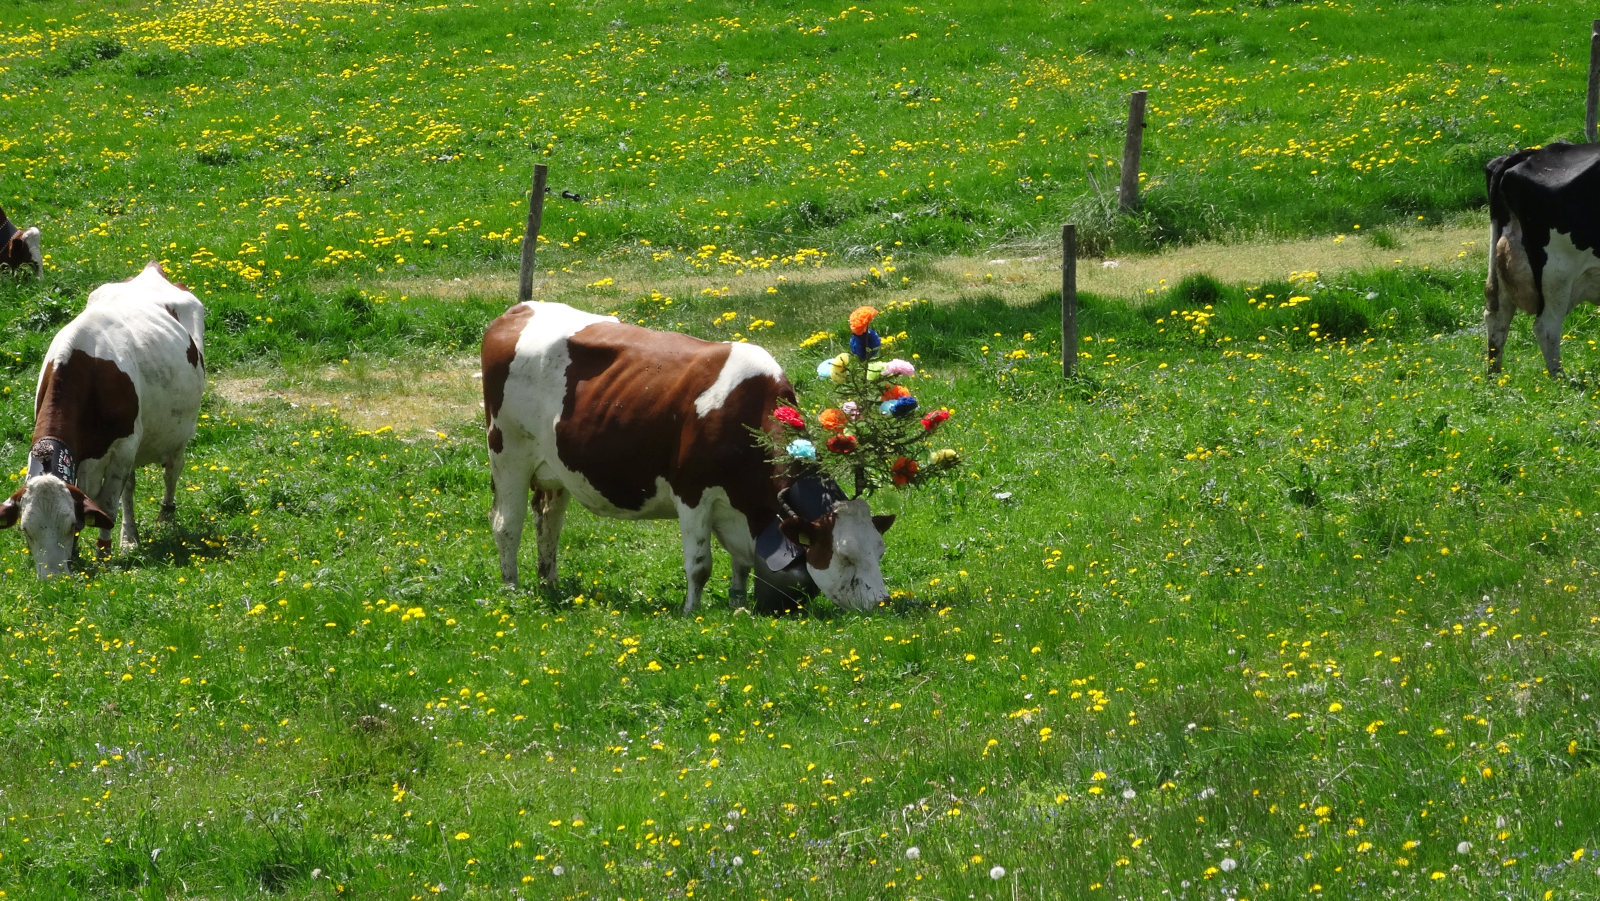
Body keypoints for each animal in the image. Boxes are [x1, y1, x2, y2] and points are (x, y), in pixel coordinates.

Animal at [480, 300, 896, 614]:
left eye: (879, 550)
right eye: (844, 557)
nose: (881, 602)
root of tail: (518, 310)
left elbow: (742, 563)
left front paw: (737, 603)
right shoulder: (692, 493)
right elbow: (699, 565)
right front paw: (690, 612)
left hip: (554, 469)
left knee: (548, 521)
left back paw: (549, 583)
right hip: (508, 451)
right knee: (506, 524)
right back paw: (511, 589)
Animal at [1478, 142, 1600, 376]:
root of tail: (1526, 155)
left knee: (1496, 318)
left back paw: (1494, 377)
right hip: (1557, 274)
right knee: (1546, 327)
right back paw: (1561, 379)